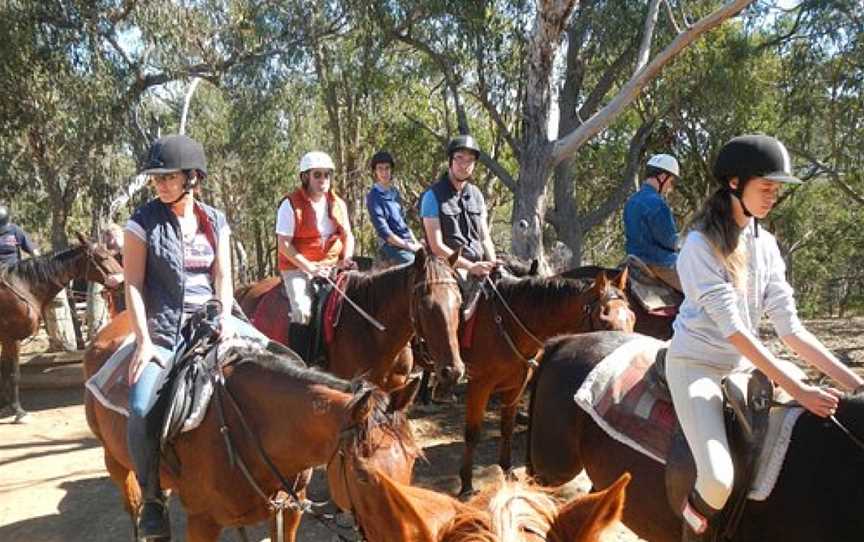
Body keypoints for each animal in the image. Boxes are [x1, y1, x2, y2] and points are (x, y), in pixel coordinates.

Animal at [0, 234, 122, 424]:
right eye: (102, 257)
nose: (122, 281)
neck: (22, 287)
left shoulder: (7, 340)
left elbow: (4, 373)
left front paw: (6, 407)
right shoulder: (11, 338)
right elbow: (13, 374)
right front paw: (19, 412)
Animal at [84, 314, 422, 542]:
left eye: (413, 460)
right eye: (363, 476)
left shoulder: (289, 509)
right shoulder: (201, 521)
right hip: (114, 461)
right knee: (132, 503)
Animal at [460, 272, 636, 498]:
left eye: (633, 317)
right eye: (604, 321)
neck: (504, 324)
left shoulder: (514, 386)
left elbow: (507, 428)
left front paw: (507, 471)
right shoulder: (479, 385)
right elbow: (472, 434)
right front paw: (466, 484)